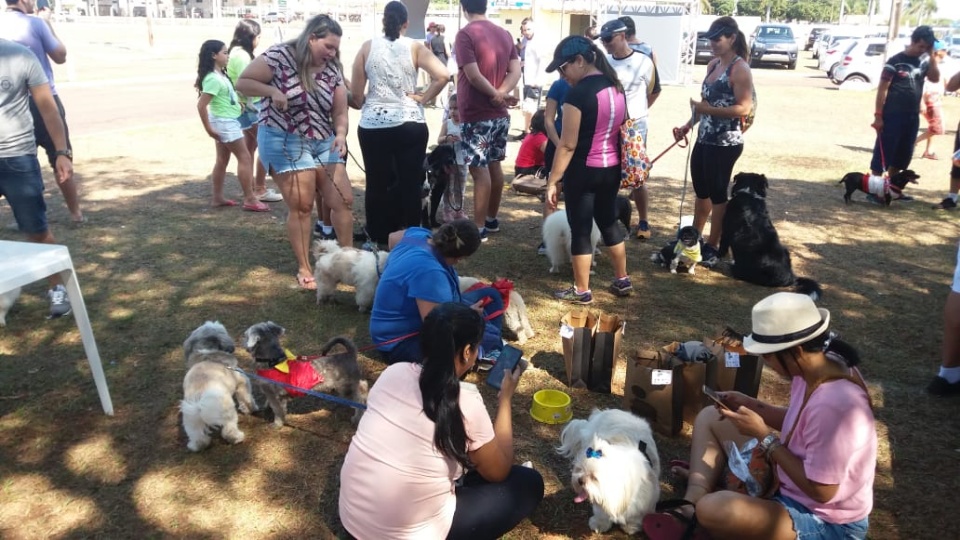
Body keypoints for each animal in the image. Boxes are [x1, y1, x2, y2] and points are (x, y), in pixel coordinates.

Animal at [181, 320, 258, 452]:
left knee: (198, 437)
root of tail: (200, 404)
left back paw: (196, 445)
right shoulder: (242, 383)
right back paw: (238, 438)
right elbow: (247, 398)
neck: (207, 355)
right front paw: (251, 409)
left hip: (191, 418)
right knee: (228, 431)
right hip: (228, 413)